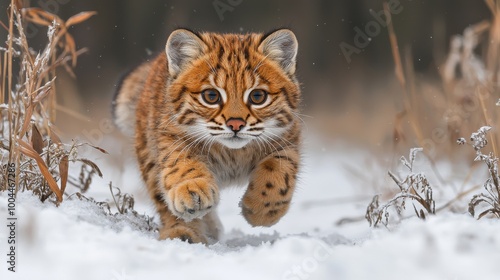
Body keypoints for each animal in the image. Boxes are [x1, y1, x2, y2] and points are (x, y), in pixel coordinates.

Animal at [113, 28, 300, 243]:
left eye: (257, 96)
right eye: (211, 96)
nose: (236, 124)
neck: (233, 153)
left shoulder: (288, 138)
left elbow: (279, 171)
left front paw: (261, 211)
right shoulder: (172, 137)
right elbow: (181, 166)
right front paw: (191, 190)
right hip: (149, 153)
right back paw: (183, 232)